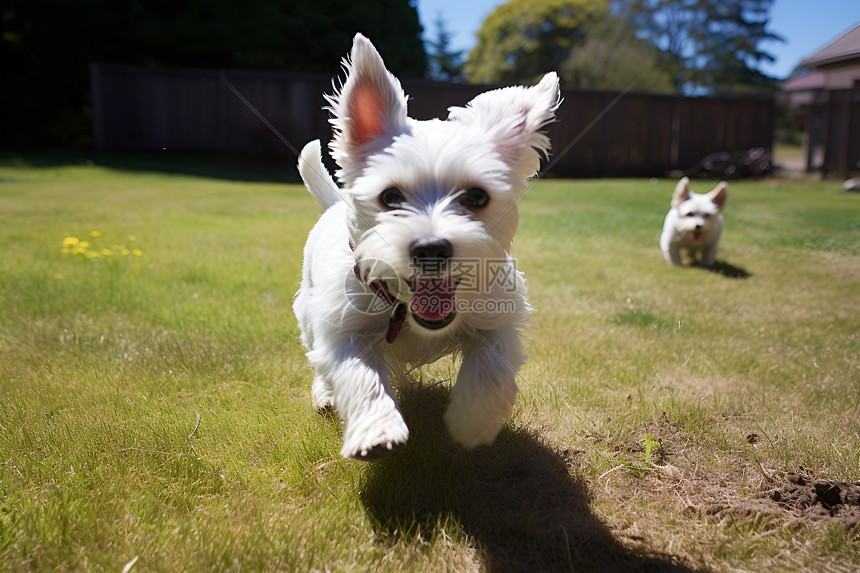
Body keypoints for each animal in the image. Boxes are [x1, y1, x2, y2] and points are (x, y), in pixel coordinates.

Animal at [292, 33, 560, 458]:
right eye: (390, 196)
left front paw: (472, 422)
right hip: (309, 309)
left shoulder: (500, 319)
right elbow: (359, 374)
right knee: (318, 358)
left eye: (477, 197)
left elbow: (490, 368)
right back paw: (324, 395)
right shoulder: (344, 328)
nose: (431, 249)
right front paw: (377, 431)